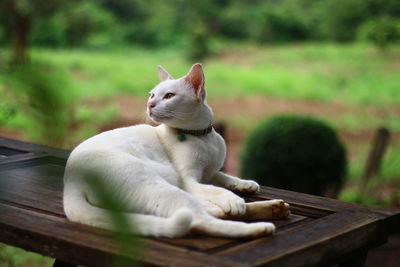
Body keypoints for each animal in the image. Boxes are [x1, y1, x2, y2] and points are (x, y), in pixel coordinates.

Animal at [62, 64, 290, 239]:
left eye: (169, 96)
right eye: (153, 95)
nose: (149, 104)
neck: (201, 136)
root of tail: (70, 186)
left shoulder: (209, 173)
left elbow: (223, 176)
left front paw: (245, 184)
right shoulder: (189, 179)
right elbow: (215, 189)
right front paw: (232, 199)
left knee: (207, 212)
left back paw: (275, 208)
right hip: (160, 185)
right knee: (201, 219)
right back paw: (260, 227)